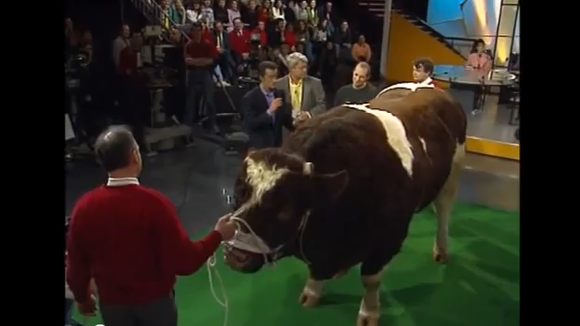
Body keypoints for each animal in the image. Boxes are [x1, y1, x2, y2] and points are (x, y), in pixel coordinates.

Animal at [222, 83, 466, 326]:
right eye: (239, 194)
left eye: (285, 209)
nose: (236, 256)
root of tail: (425, 85)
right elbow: (315, 271)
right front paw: (312, 292)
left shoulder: (388, 239)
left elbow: (370, 280)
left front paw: (369, 313)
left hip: (452, 174)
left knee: (443, 211)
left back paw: (441, 250)